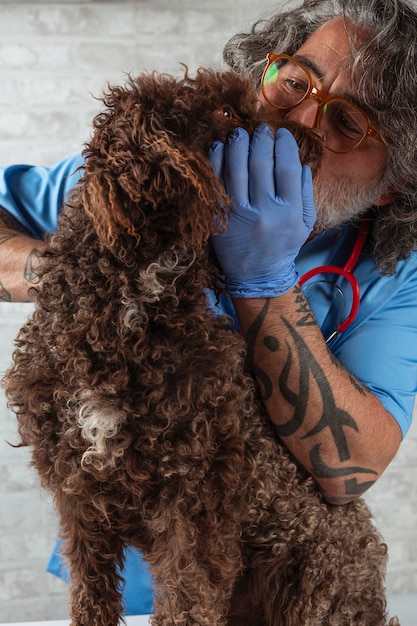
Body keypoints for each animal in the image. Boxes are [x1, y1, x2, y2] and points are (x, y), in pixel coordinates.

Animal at [4, 68, 400, 624]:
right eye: (230, 113)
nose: (312, 140)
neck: (130, 311)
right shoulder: (78, 490)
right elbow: (90, 591)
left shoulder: (195, 502)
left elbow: (187, 600)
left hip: (318, 583)